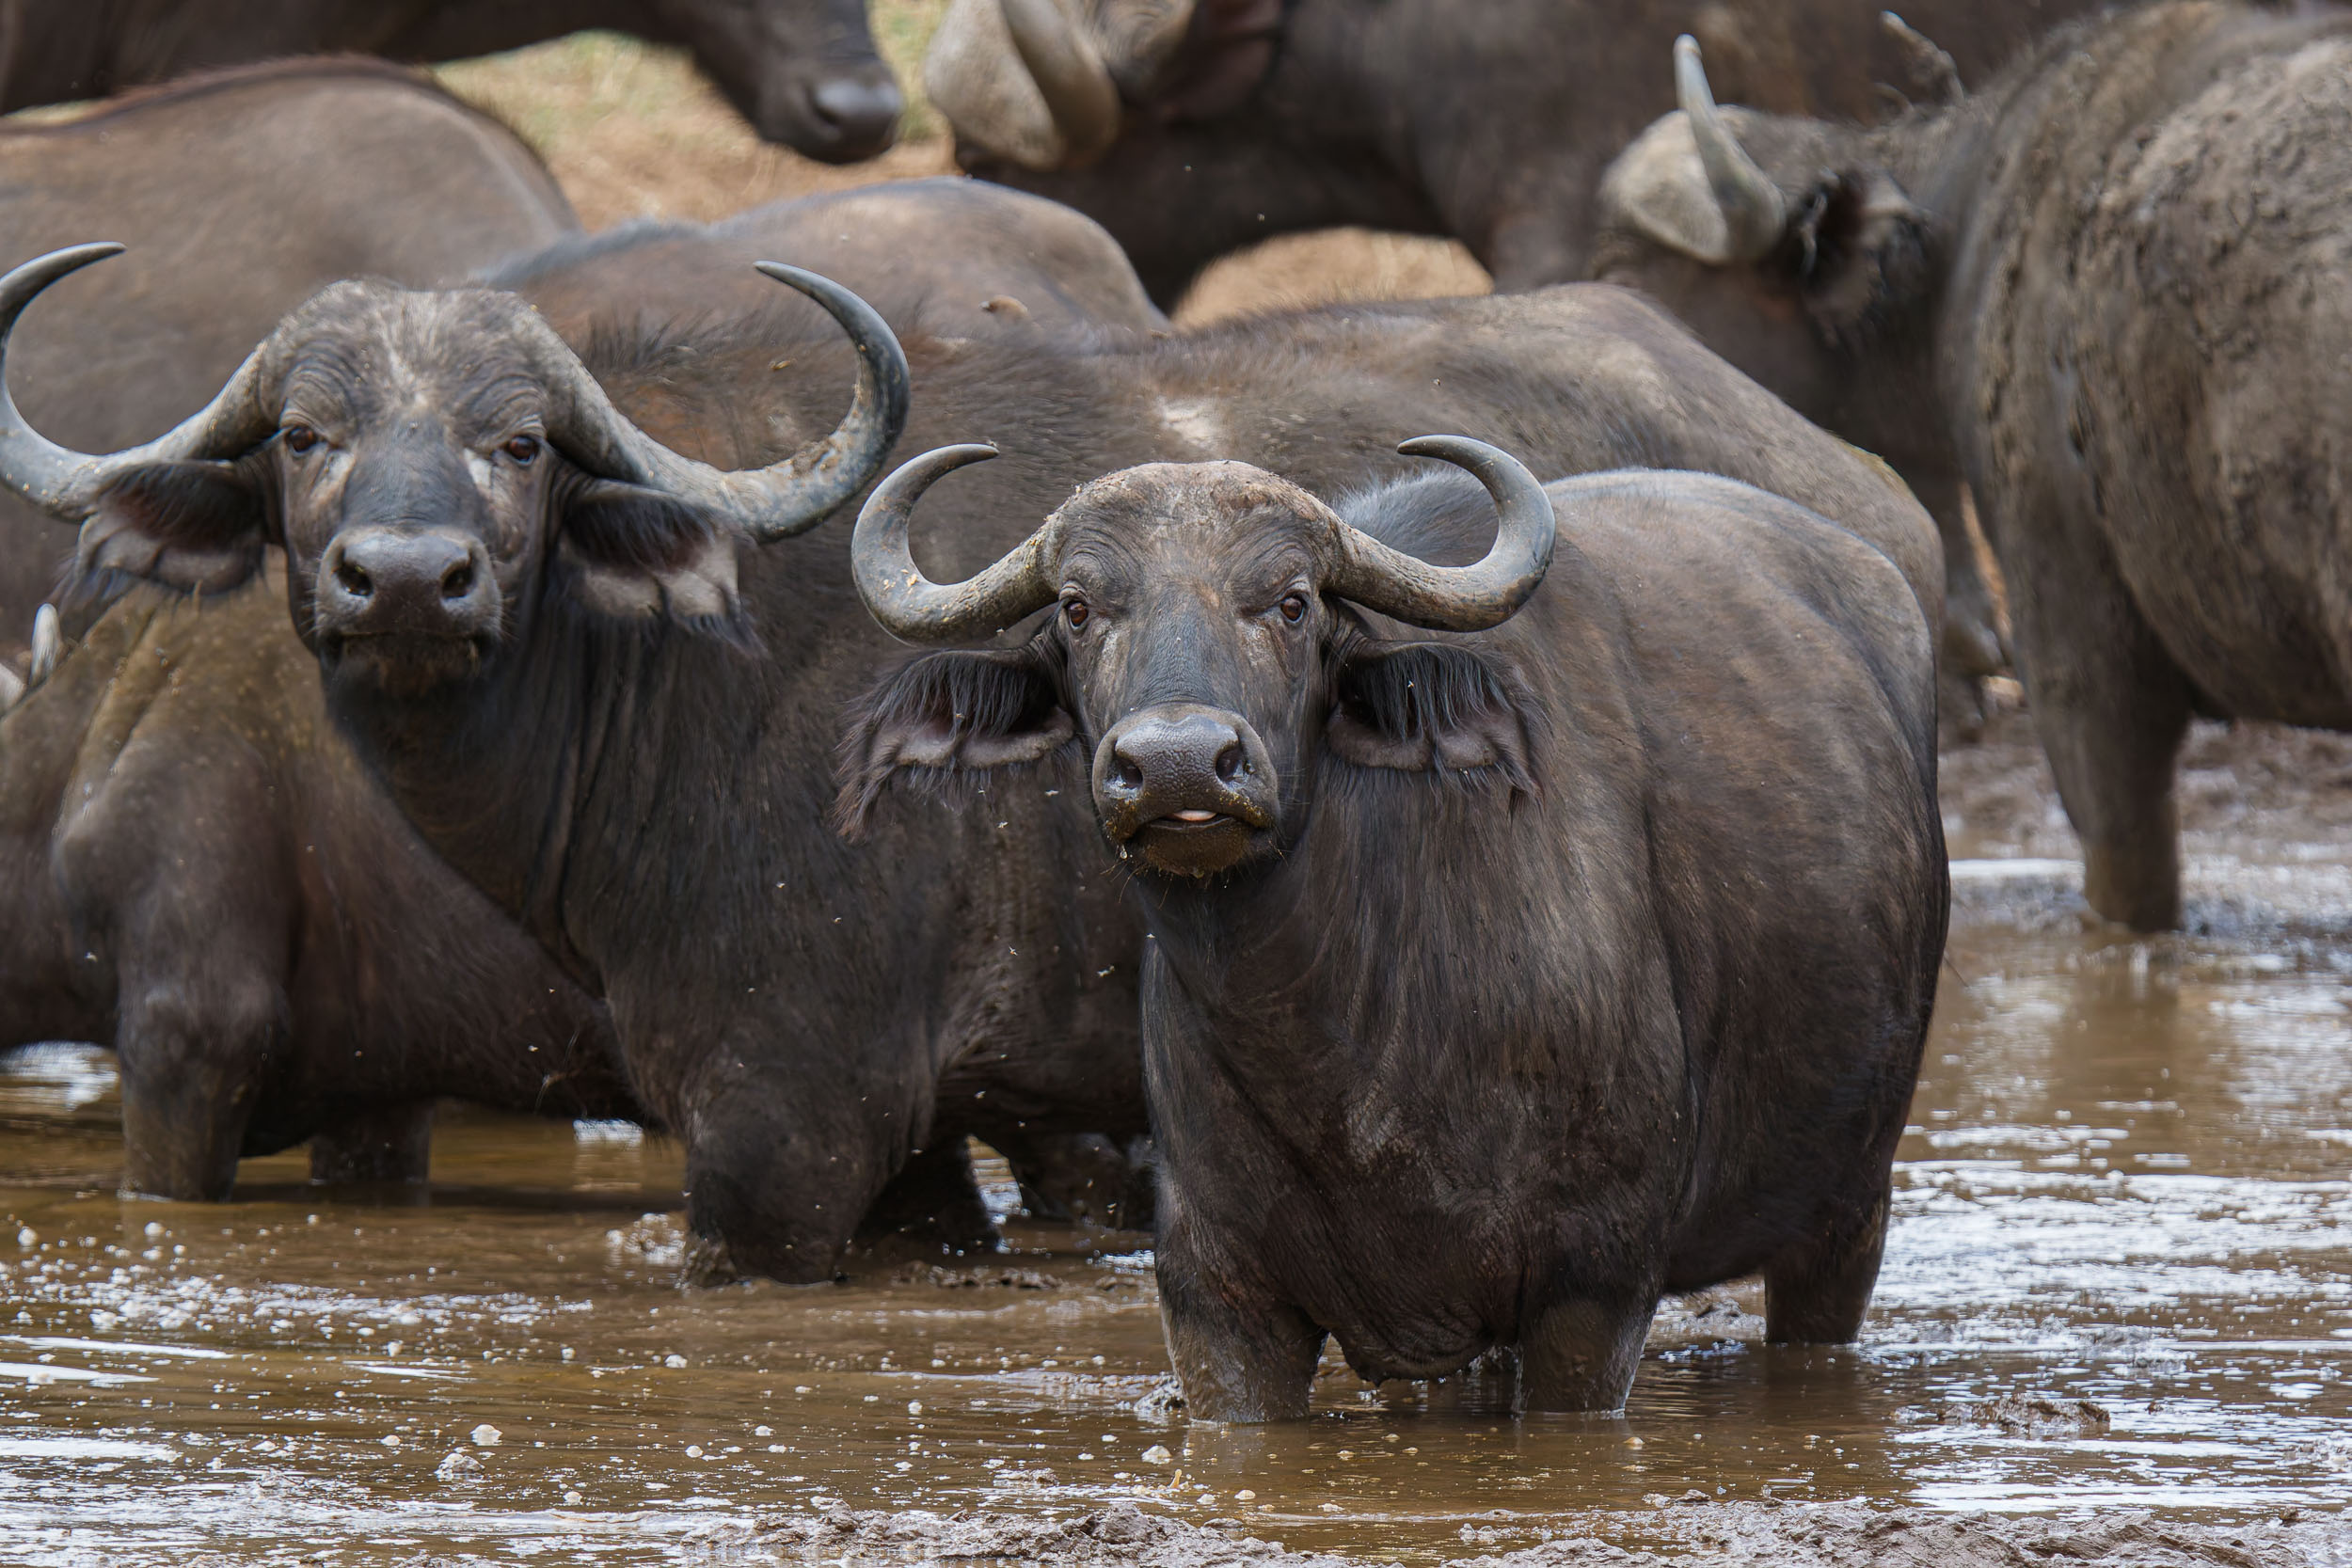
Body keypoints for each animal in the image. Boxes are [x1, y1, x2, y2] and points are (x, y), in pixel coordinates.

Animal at [0, 220, 1937, 1280]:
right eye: (305, 436)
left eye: (523, 441)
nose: (405, 580)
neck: (664, 687)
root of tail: (1867, 505)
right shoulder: (923, 1149)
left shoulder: (779, 1129)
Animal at [840, 437, 1946, 1418]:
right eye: (1077, 607)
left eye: (1291, 601)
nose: (1179, 764)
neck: (1341, 1045)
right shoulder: (1218, 1299)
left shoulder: (1592, 1293)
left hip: (1848, 1215)